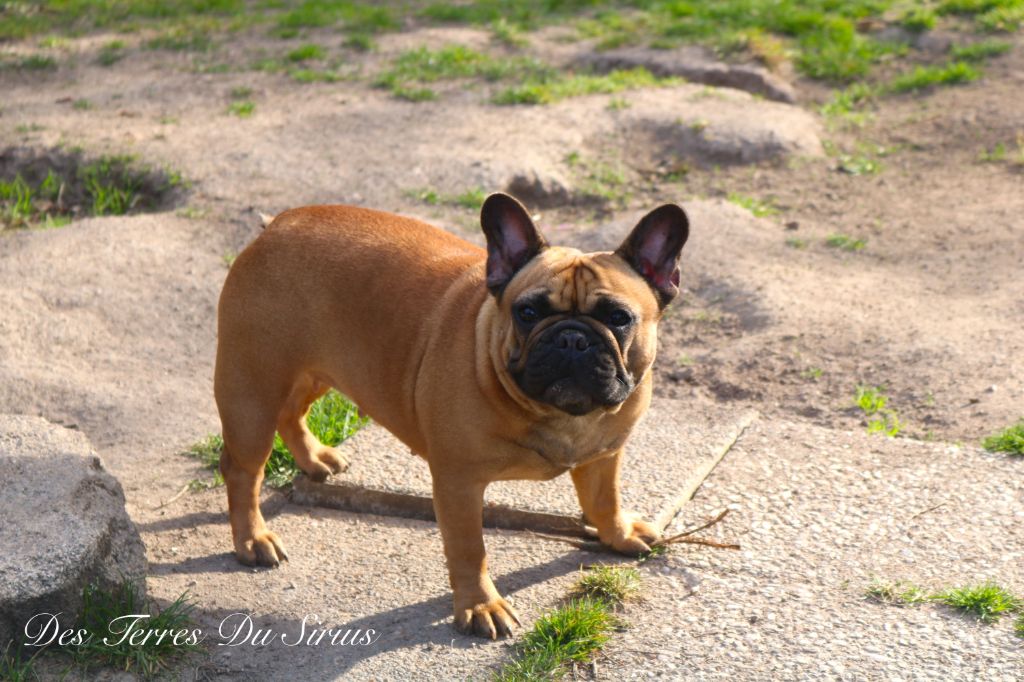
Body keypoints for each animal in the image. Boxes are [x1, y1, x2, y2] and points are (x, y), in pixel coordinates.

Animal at [214, 191, 688, 638]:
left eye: (619, 317)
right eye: (527, 312)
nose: (572, 338)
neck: (564, 416)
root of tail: (278, 225)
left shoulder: (605, 455)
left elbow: (605, 500)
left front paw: (619, 534)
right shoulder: (459, 484)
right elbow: (469, 549)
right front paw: (480, 606)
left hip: (316, 371)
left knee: (291, 412)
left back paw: (314, 457)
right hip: (252, 390)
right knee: (243, 470)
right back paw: (253, 538)